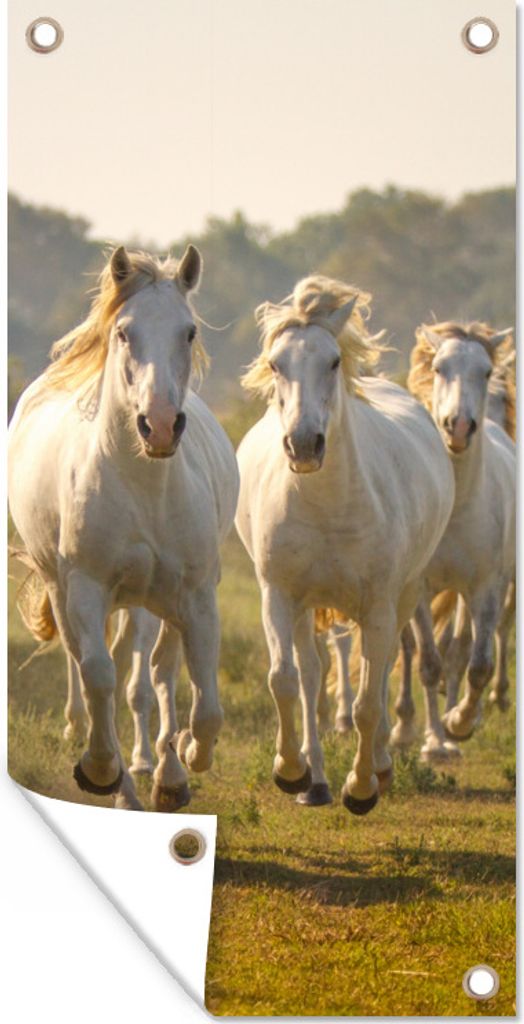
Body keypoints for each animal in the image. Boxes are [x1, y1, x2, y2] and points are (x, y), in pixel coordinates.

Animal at [9, 245, 239, 811]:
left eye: (189, 332)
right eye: (123, 332)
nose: (159, 426)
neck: (143, 486)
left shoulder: (195, 596)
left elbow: (203, 701)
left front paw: (187, 758)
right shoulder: (86, 588)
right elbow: (98, 677)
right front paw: (100, 769)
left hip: (155, 600)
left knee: (158, 670)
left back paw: (168, 774)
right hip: (65, 588)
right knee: (93, 668)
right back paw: (124, 785)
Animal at [235, 275, 454, 813]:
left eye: (333, 362)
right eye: (276, 363)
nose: (304, 445)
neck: (327, 508)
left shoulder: (378, 606)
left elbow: (368, 703)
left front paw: (361, 788)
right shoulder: (278, 595)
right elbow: (285, 680)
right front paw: (290, 771)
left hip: (404, 596)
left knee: (386, 667)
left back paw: (379, 766)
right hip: (304, 610)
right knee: (311, 678)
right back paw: (314, 783)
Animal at [391, 321, 515, 759]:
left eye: (485, 371)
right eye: (439, 368)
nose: (458, 427)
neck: (457, 505)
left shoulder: (485, 587)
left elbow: (474, 662)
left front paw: (458, 723)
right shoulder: (421, 587)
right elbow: (427, 662)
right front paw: (433, 742)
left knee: (460, 650)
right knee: (411, 648)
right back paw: (405, 727)